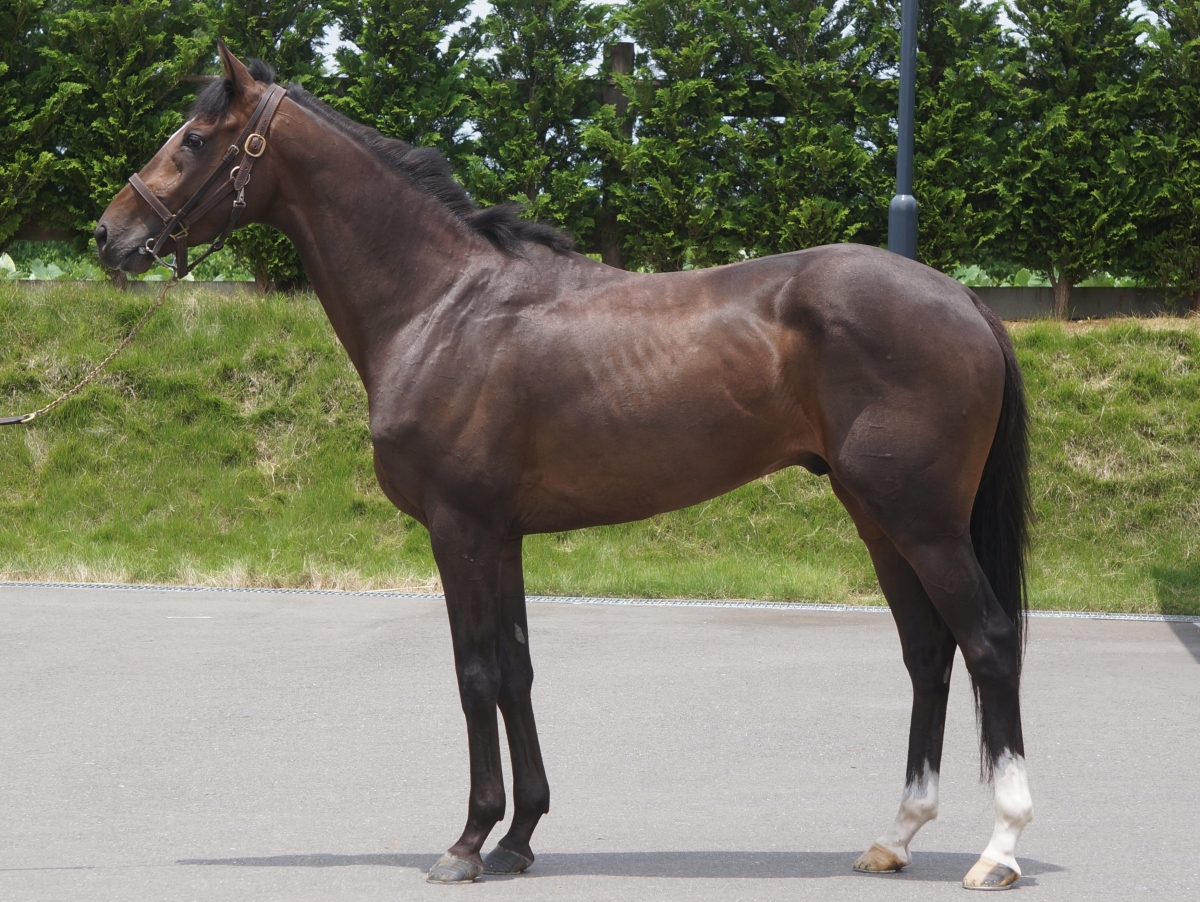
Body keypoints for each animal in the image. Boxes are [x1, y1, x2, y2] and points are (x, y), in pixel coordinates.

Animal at [96, 43, 1034, 890]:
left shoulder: (460, 530)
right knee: (927, 650)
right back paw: (897, 837)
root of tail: (962, 297)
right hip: (878, 518)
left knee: (987, 641)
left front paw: (469, 842)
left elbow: (474, 673)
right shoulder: (502, 536)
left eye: (194, 139)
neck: (444, 306)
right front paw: (520, 837)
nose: (112, 235)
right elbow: (516, 672)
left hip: (922, 521)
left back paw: (999, 849)